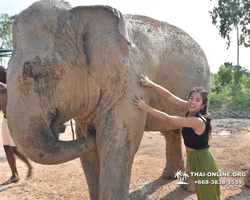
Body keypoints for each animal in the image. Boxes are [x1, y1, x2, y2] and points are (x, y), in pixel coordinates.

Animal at [6, 0, 210, 200]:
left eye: (39, 72)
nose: (92, 134)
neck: (81, 13)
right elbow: (89, 153)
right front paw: (91, 137)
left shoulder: (130, 83)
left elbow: (117, 145)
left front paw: (99, 139)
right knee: (171, 132)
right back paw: (169, 176)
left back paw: (189, 189)